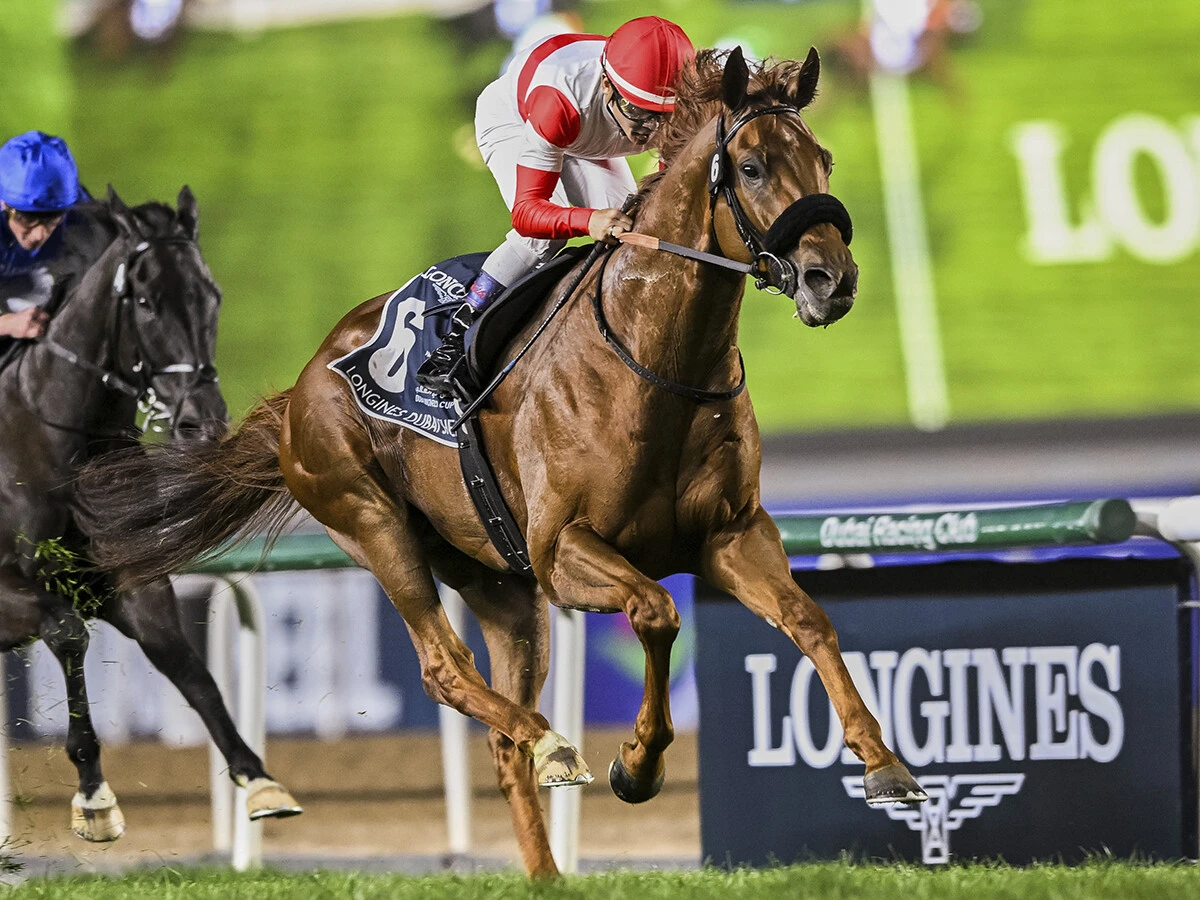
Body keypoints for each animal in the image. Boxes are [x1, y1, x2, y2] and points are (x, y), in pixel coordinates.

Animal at [0, 187, 300, 842]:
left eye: (211, 294)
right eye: (144, 301)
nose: (200, 419)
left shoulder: (132, 580)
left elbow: (189, 668)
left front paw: (258, 778)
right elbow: (67, 633)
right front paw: (93, 794)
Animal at [79, 48, 924, 874]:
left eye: (823, 159)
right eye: (750, 167)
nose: (831, 279)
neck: (655, 360)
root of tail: (302, 386)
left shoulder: (732, 533)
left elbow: (808, 619)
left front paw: (884, 762)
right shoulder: (561, 549)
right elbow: (656, 609)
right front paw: (636, 764)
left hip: (499, 585)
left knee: (500, 736)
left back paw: (548, 859)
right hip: (375, 523)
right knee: (446, 669)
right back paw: (553, 742)